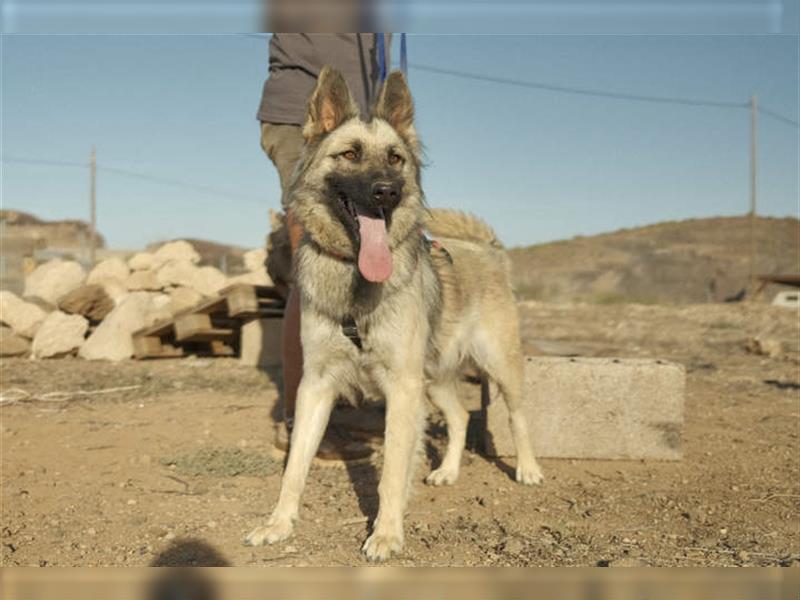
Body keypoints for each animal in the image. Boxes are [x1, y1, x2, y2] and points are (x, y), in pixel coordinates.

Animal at [245, 67, 544, 564]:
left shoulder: (401, 389)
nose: (387, 192)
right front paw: (279, 523)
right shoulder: (317, 386)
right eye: (349, 154)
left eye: (396, 158)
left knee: (518, 415)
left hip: (498, 366)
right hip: (433, 377)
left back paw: (528, 468)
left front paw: (385, 534)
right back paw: (447, 471)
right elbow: (295, 466)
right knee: (459, 417)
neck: (354, 278)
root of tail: (488, 249)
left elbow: (390, 473)